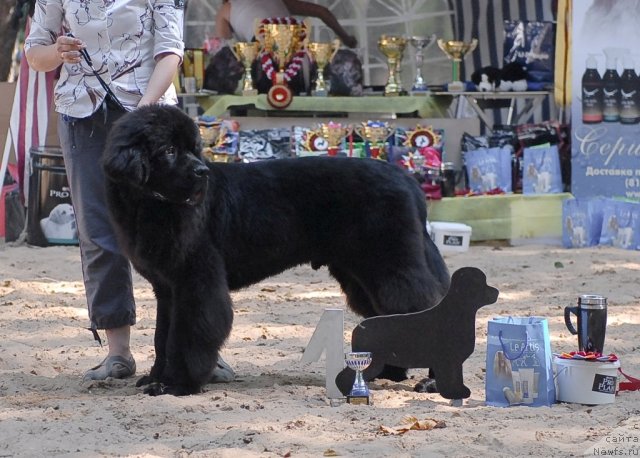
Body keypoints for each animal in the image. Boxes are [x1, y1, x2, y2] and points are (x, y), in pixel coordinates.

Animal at [102, 105, 450, 396]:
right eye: (170, 150)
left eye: (193, 148)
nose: (202, 172)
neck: (149, 205)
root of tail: (406, 178)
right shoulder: (167, 288)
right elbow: (163, 336)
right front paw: (156, 377)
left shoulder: (196, 281)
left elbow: (187, 334)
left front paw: (177, 384)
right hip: (362, 275)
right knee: (389, 315)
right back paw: (390, 371)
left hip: (390, 265)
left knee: (424, 309)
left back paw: (434, 382)